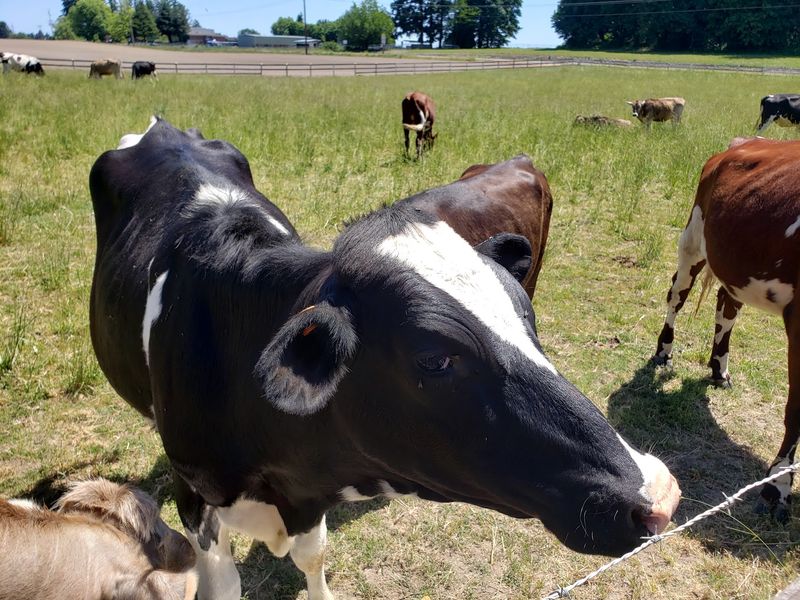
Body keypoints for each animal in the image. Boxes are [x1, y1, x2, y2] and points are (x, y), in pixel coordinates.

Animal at [652, 138, 800, 520]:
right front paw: (778, 487)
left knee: (726, 304)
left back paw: (719, 369)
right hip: (693, 237)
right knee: (677, 293)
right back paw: (663, 352)